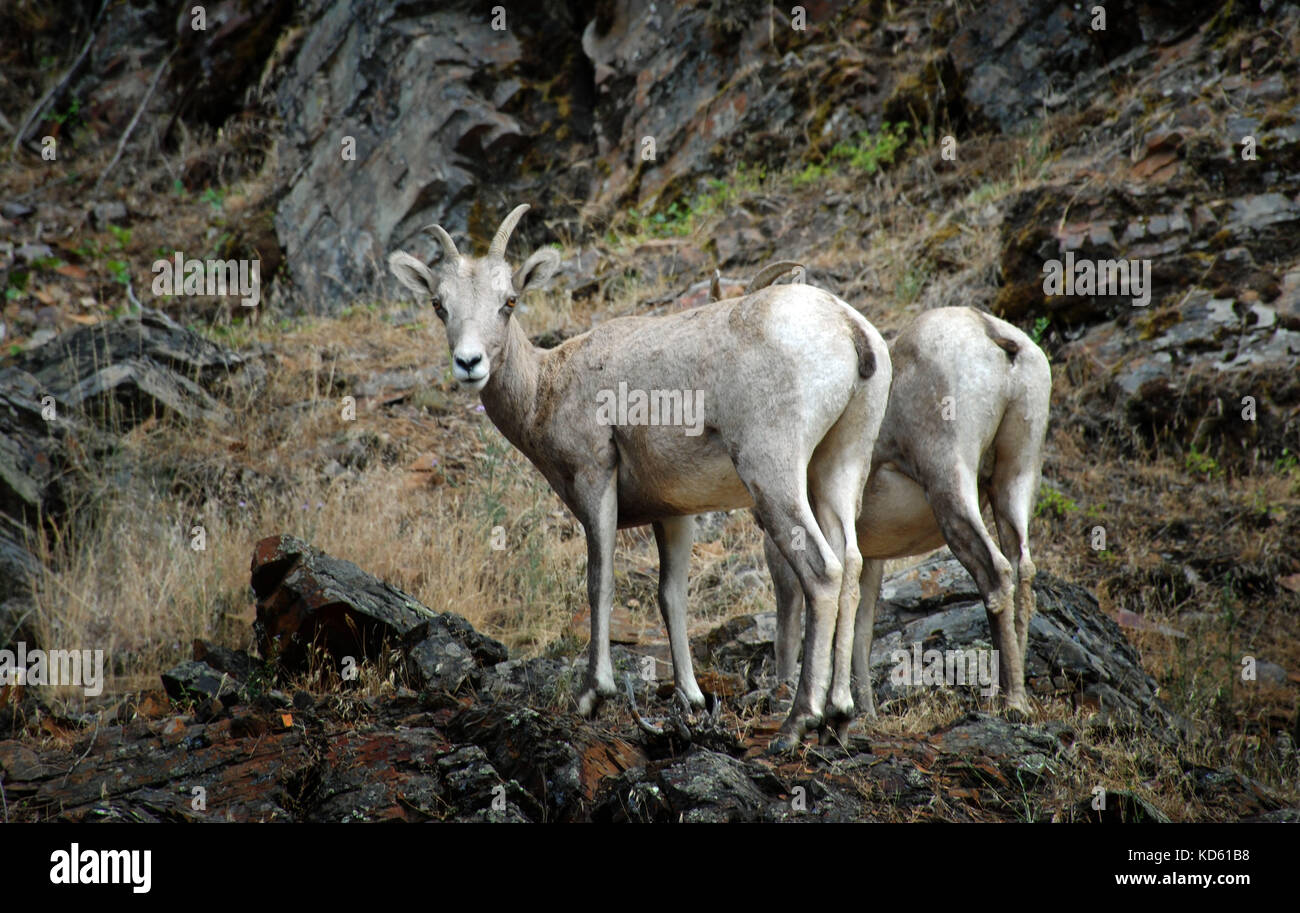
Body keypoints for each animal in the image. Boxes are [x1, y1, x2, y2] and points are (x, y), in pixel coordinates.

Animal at [388, 204, 891, 749]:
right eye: (439, 305)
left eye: (509, 301)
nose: (469, 363)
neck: (547, 386)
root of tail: (848, 327)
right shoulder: (674, 515)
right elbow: (671, 598)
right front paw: (691, 698)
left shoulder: (595, 479)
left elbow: (600, 581)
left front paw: (593, 694)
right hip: (838, 469)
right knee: (852, 563)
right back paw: (839, 715)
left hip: (774, 474)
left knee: (822, 572)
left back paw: (798, 722)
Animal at [763, 306, 1051, 721]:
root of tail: (991, 333)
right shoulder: (871, 558)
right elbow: (862, 629)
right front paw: (865, 712)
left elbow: (792, 621)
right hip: (1016, 480)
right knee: (1023, 572)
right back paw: (1014, 696)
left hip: (951, 484)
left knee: (996, 573)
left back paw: (1011, 702)